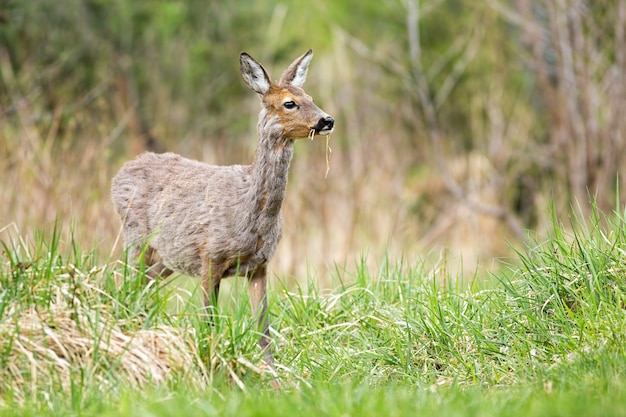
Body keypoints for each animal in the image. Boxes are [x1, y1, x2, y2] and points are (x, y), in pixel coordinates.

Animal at [111, 48, 336, 376]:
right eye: (289, 103)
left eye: (309, 96)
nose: (327, 120)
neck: (250, 216)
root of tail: (119, 175)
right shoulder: (210, 255)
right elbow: (209, 322)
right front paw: (210, 368)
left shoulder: (259, 265)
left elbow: (264, 331)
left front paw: (274, 378)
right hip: (136, 240)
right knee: (124, 283)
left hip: (165, 259)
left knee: (140, 289)